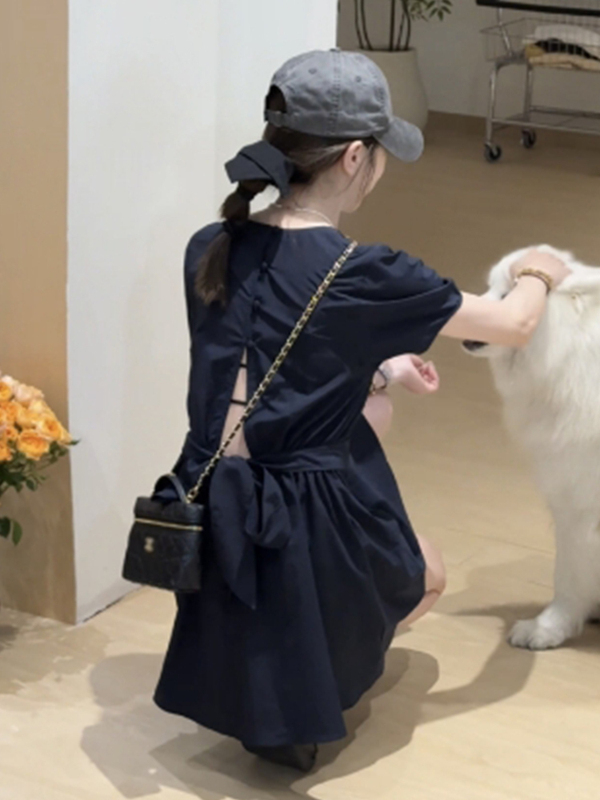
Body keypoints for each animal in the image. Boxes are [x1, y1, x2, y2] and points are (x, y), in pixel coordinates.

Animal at [464, 245, 600, 649]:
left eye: (509, 294)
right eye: (490, 286)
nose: (471, 305)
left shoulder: (579, 501)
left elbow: (568, 573)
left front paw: (547, 629)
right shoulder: (568, 498)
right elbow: (568, 573)